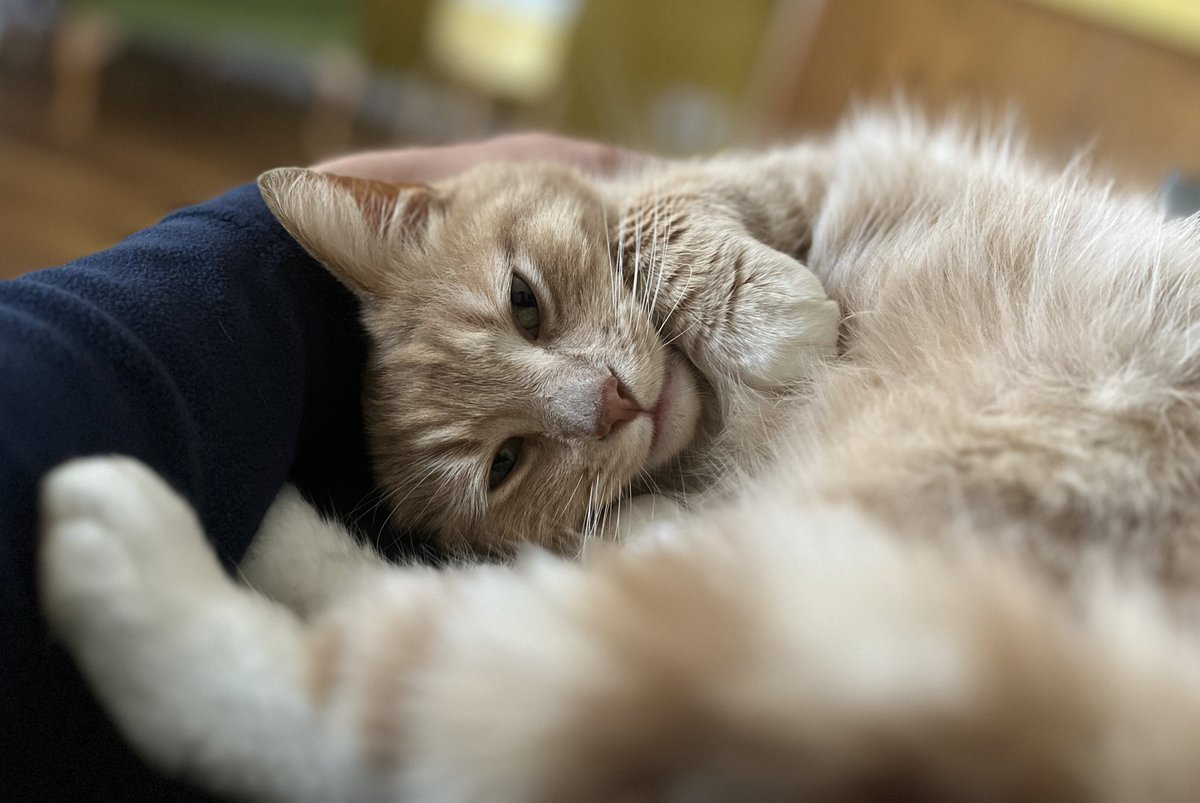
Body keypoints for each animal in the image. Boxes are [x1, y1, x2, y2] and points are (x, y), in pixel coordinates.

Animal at [35, 108, 1200, 801]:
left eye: (524, 302)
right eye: (506, 463)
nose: (610, 404)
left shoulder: (780, 171)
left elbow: (666, 214)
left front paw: (778, 318)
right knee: (411, 696)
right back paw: (148, 539)